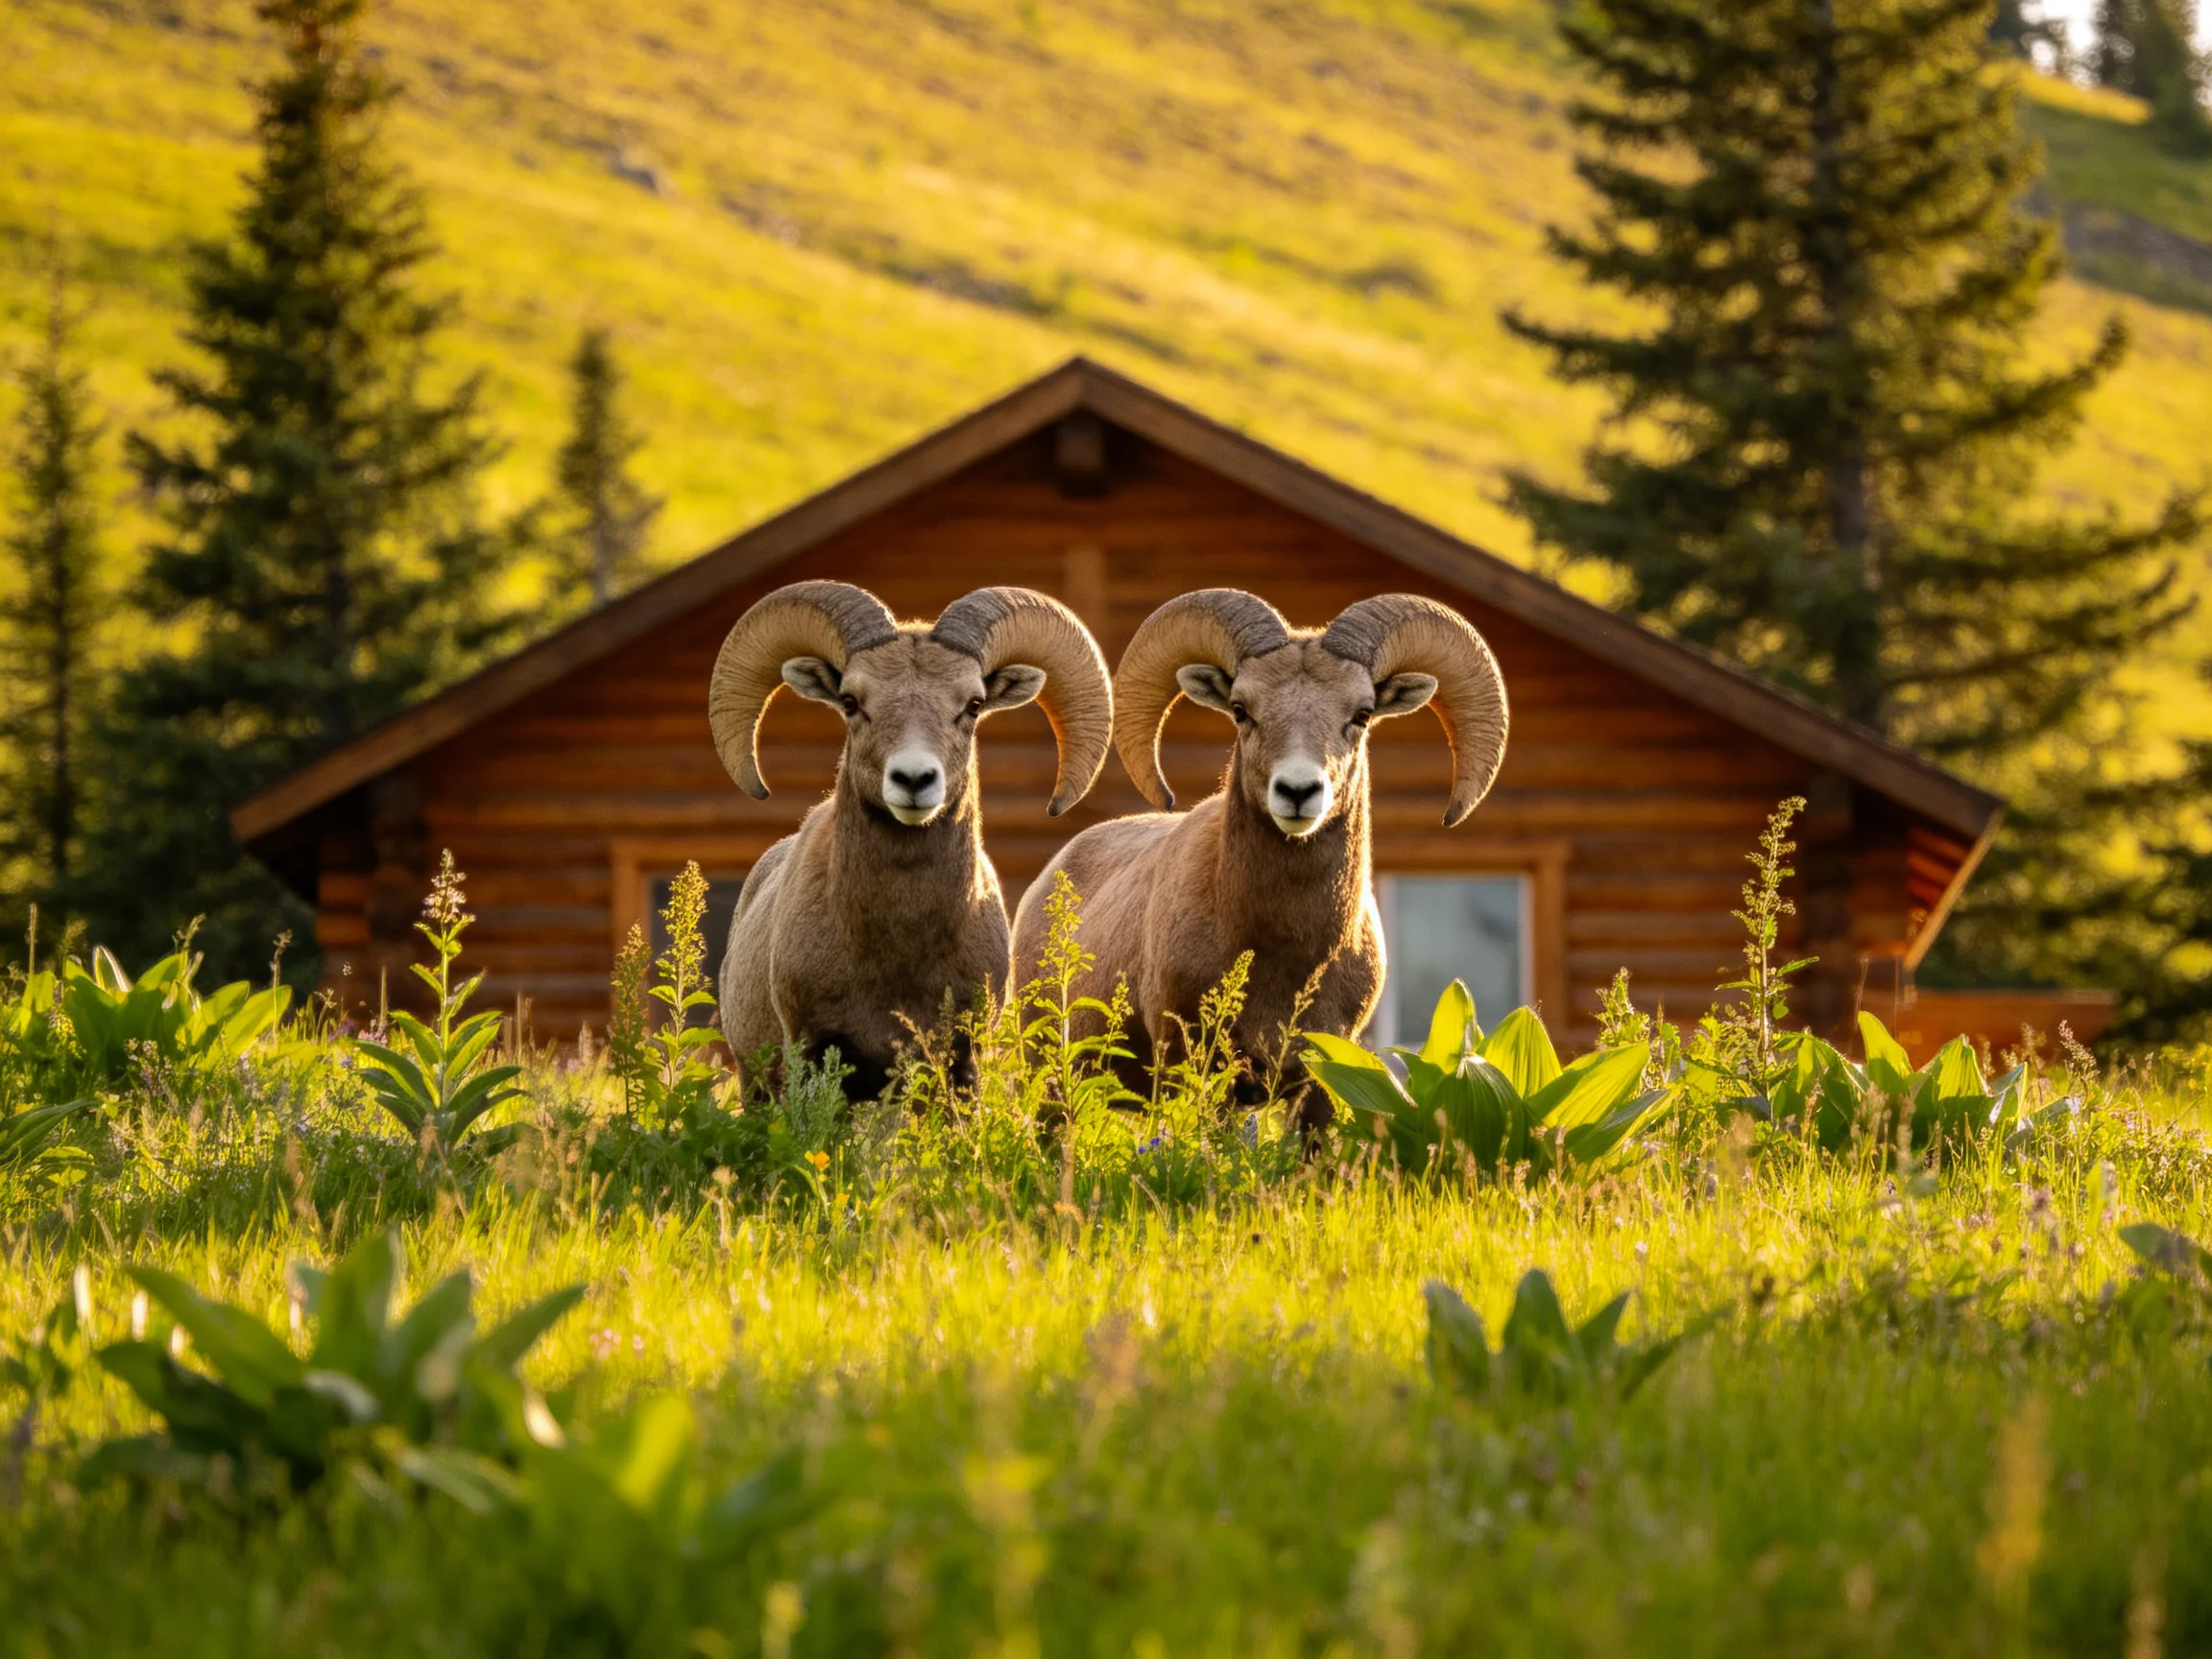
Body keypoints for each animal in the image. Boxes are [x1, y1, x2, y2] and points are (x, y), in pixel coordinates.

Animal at [709, 580, 1112, 1099]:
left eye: (973, 704)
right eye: (850, 701)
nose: (915, 779)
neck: (898, 950)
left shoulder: (962, 1064)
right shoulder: (813, 1052)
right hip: (756, 1083)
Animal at [1010, 589, 1508, 1127]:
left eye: (1362, 713)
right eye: (1241, 709)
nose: (1298, 791)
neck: (1284, 954)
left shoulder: (1322, 1081)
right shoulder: (1198, 1067)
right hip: (1048, 1082)